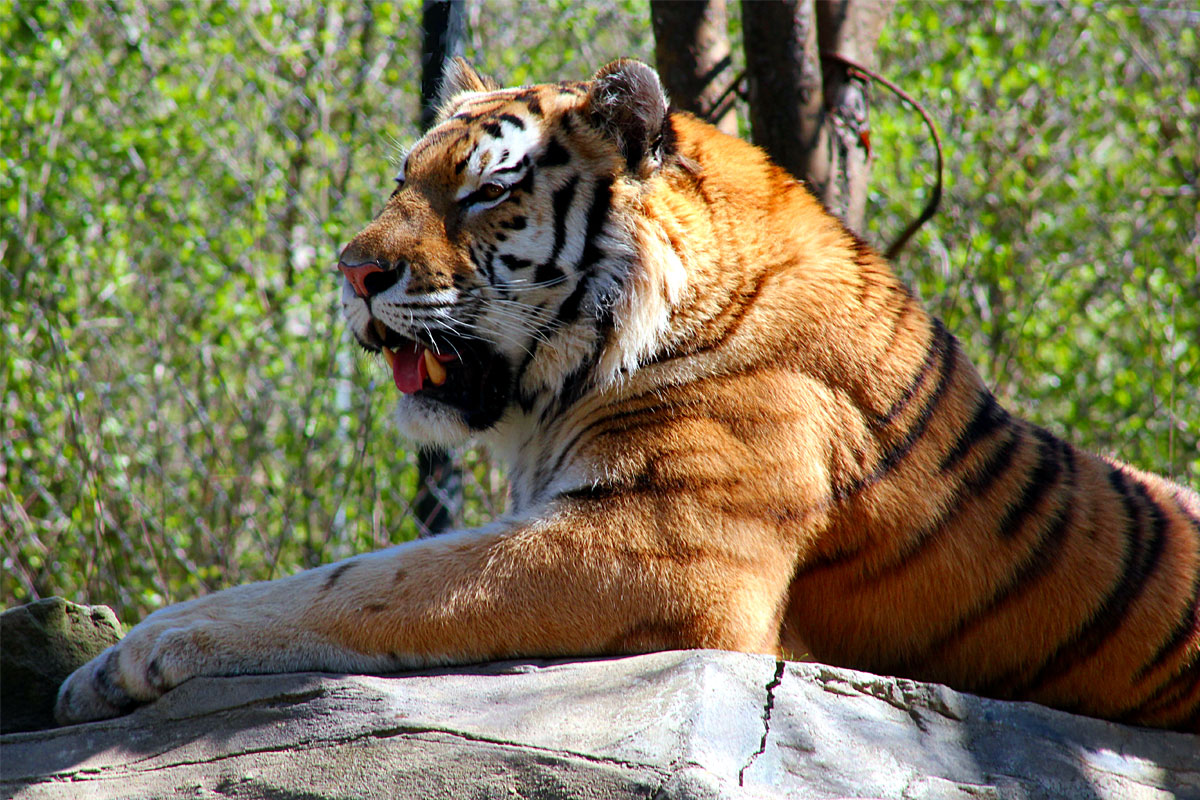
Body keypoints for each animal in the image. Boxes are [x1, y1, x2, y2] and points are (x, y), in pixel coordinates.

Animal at [56, 59, 1200, 732]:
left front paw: (123, 658)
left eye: (485, 190)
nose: (352, 272)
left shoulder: (660, 545)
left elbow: (354, 584)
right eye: (401, 178)